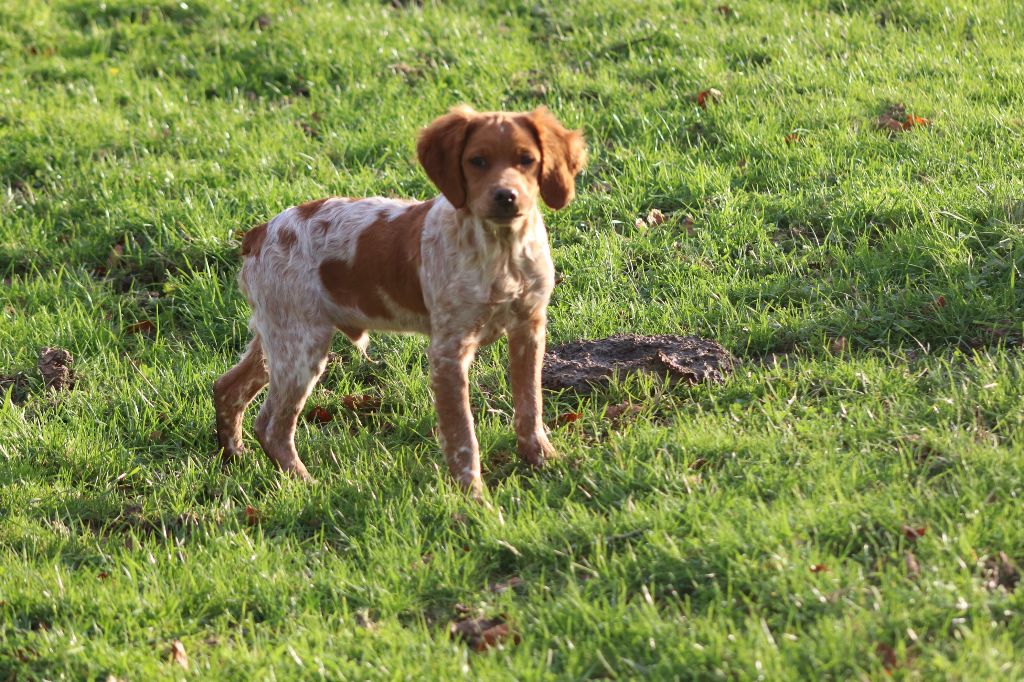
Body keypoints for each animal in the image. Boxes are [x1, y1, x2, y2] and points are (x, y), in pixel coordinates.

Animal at [211, 107, 589, 499]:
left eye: (526, 160)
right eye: (477, 161)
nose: (506, 196)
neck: (502, 251)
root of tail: (260, 232)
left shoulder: (529, 329)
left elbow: (530, 405)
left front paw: (544, 461)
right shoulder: (448, 351)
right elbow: (462, 434)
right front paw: (472, 496)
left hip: (277, 335)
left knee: (227, 388)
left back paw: (235, 456)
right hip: (300, 346)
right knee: (272, 426)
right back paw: (305, 483)